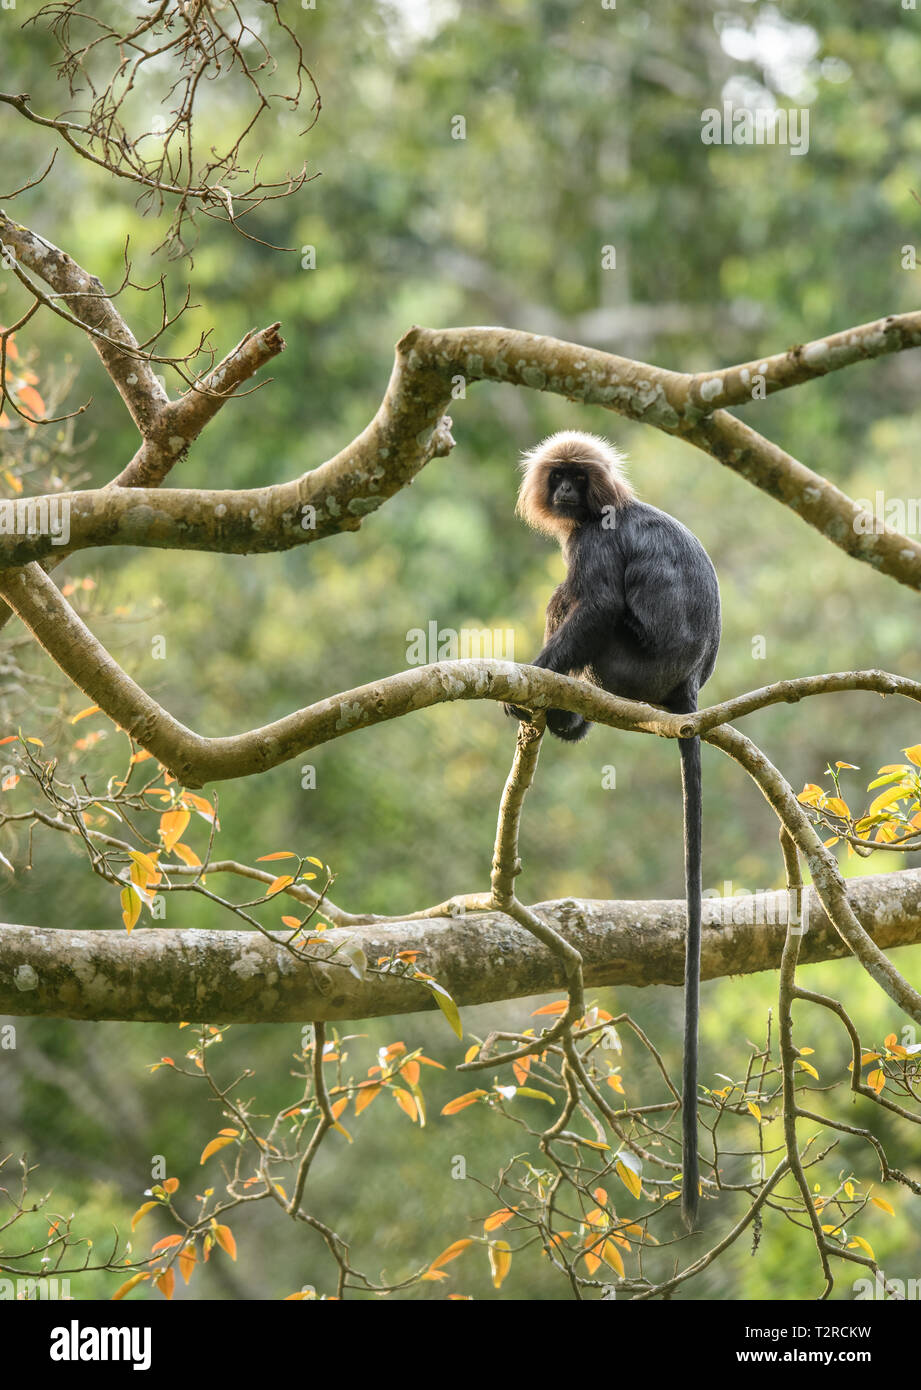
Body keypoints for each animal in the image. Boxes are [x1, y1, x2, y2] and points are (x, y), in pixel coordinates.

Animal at [508, 430, 722, 1228]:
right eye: (558, 480)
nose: (568, 495)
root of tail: (685, 688)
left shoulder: (592, 543)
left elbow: (593, 602)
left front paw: (527, 688)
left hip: (632, 666)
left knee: (577, 608)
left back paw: (554, 709)